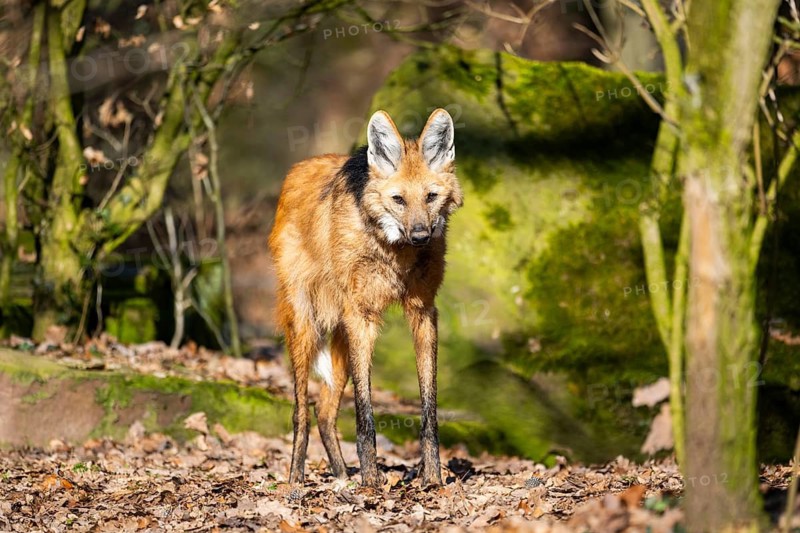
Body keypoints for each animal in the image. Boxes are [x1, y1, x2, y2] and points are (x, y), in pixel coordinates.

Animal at [268, 108, 462, 487]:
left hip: (341, 337)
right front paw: (372, 480)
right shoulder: (362, 317)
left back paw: (342, 476)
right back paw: (296, 479)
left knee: (324, 411)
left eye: (430, 197)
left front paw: (432, 478)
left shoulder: (423, 312)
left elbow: (429, 408)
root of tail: (297, 168)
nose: (420, 235)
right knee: (302, 411)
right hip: (307, 325)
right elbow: (364, 411)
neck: (395, 251)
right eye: (398, 199)